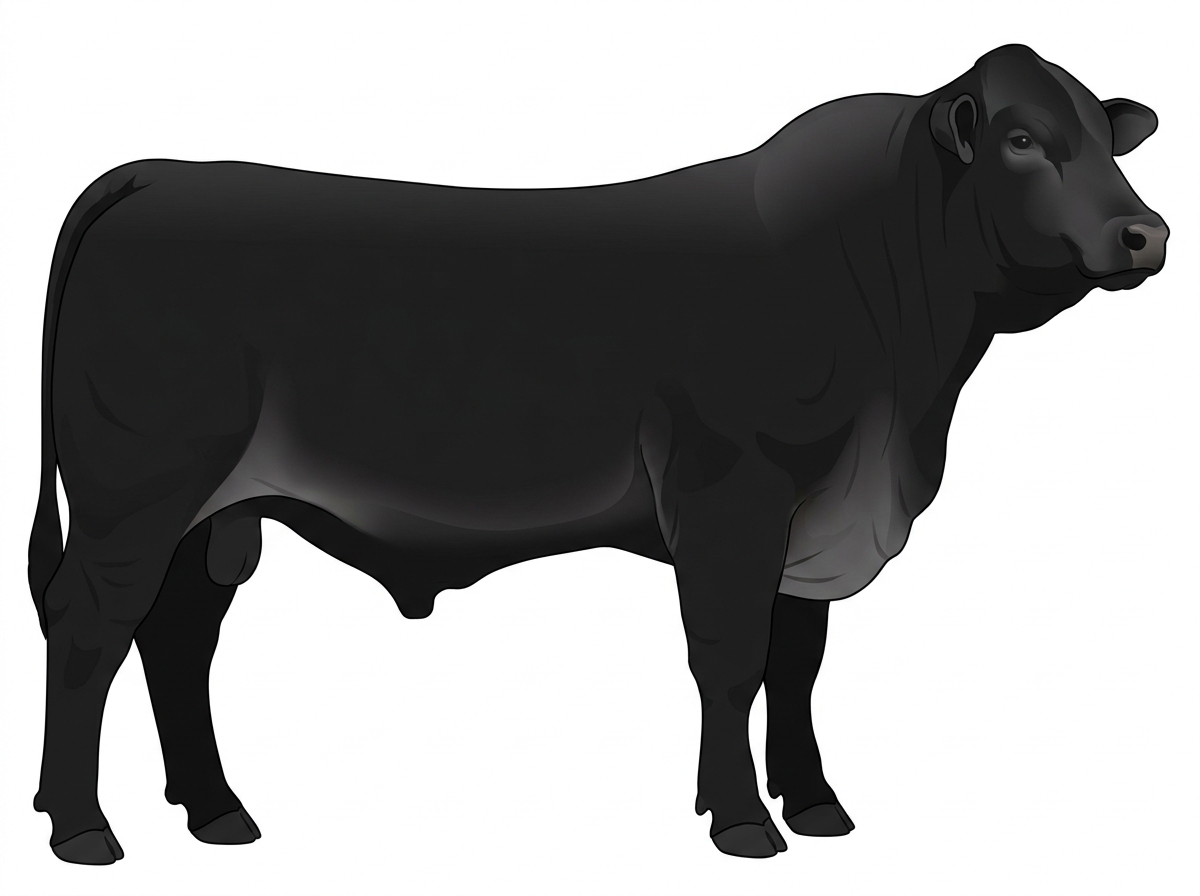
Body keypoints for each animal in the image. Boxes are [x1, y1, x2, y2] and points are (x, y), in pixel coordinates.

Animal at [28, 44, 1167, 863]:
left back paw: (216, 811)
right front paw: (742, 819)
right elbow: (732, 657)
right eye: (1020, 139)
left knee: (176, 638)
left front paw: (814, 802)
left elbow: (797, 663)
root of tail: (158, 174)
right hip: (137, 489)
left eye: (1109, 142)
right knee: (91, 627)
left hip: (213, 513)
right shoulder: (731, 494)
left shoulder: (813, 517)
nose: (1145, 232)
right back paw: (82, 827)